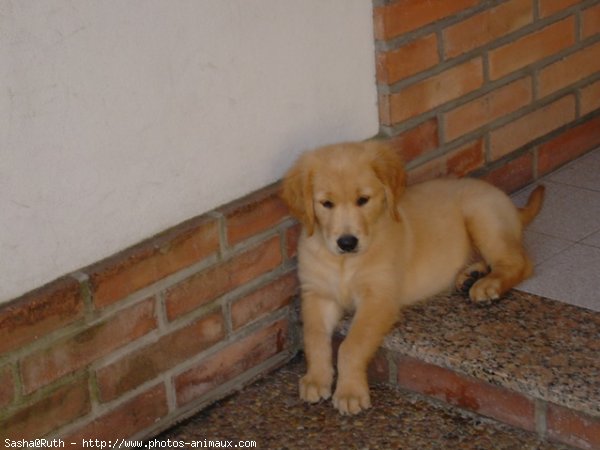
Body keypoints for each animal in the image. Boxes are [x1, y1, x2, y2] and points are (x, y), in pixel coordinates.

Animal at [282, 141, 544, 414]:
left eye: (363, 200)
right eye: (326, 204)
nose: (347, 242)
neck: (344, 263)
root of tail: (511, 205)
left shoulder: (379, 297)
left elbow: (351, 345)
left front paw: (350, 392)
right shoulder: (316, 293)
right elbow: (314, 337)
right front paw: (316, 379)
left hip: (482, 214)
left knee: (519, 261)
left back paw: (488, 284)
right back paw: (471, 275)